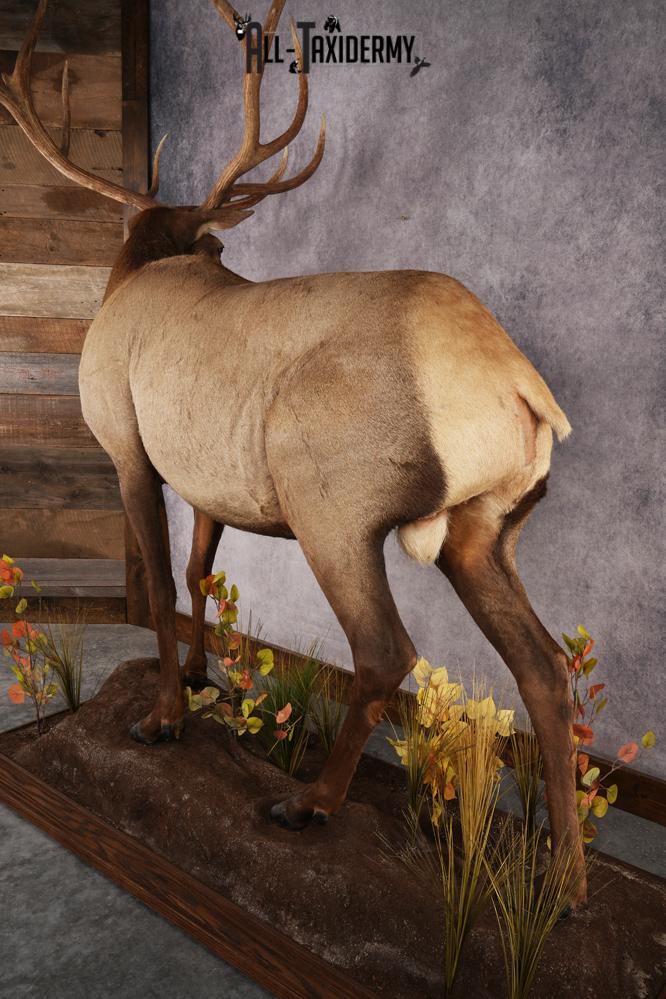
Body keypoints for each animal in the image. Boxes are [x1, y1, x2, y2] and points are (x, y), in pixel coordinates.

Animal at [2, 0, 586, 902]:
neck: (133, 274)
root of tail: (525, 395)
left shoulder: (128, 447)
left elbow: (161, 581)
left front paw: (162, 717)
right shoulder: (207, 479)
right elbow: (201, 571)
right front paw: (198, 679)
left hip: (332, 509)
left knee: (386, 651)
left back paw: (308, 801)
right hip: (485, 529)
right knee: (547, 667)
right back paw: (566, 879)